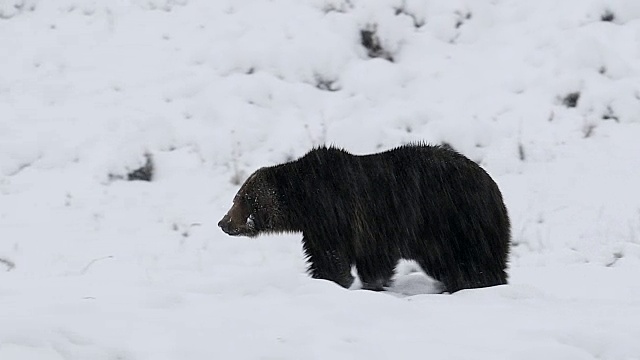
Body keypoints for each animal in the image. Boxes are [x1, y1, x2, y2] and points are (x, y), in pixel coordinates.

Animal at [219, 144, 510, 292]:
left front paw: (352, 282)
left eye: (240, 199)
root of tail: (495, 188)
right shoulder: (317, 228)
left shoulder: (344, 215)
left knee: (476, 261)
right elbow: (325, 257)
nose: (223, 222)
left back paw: (478, 283)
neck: (305, 201)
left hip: (459, 220)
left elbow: (348, 258)